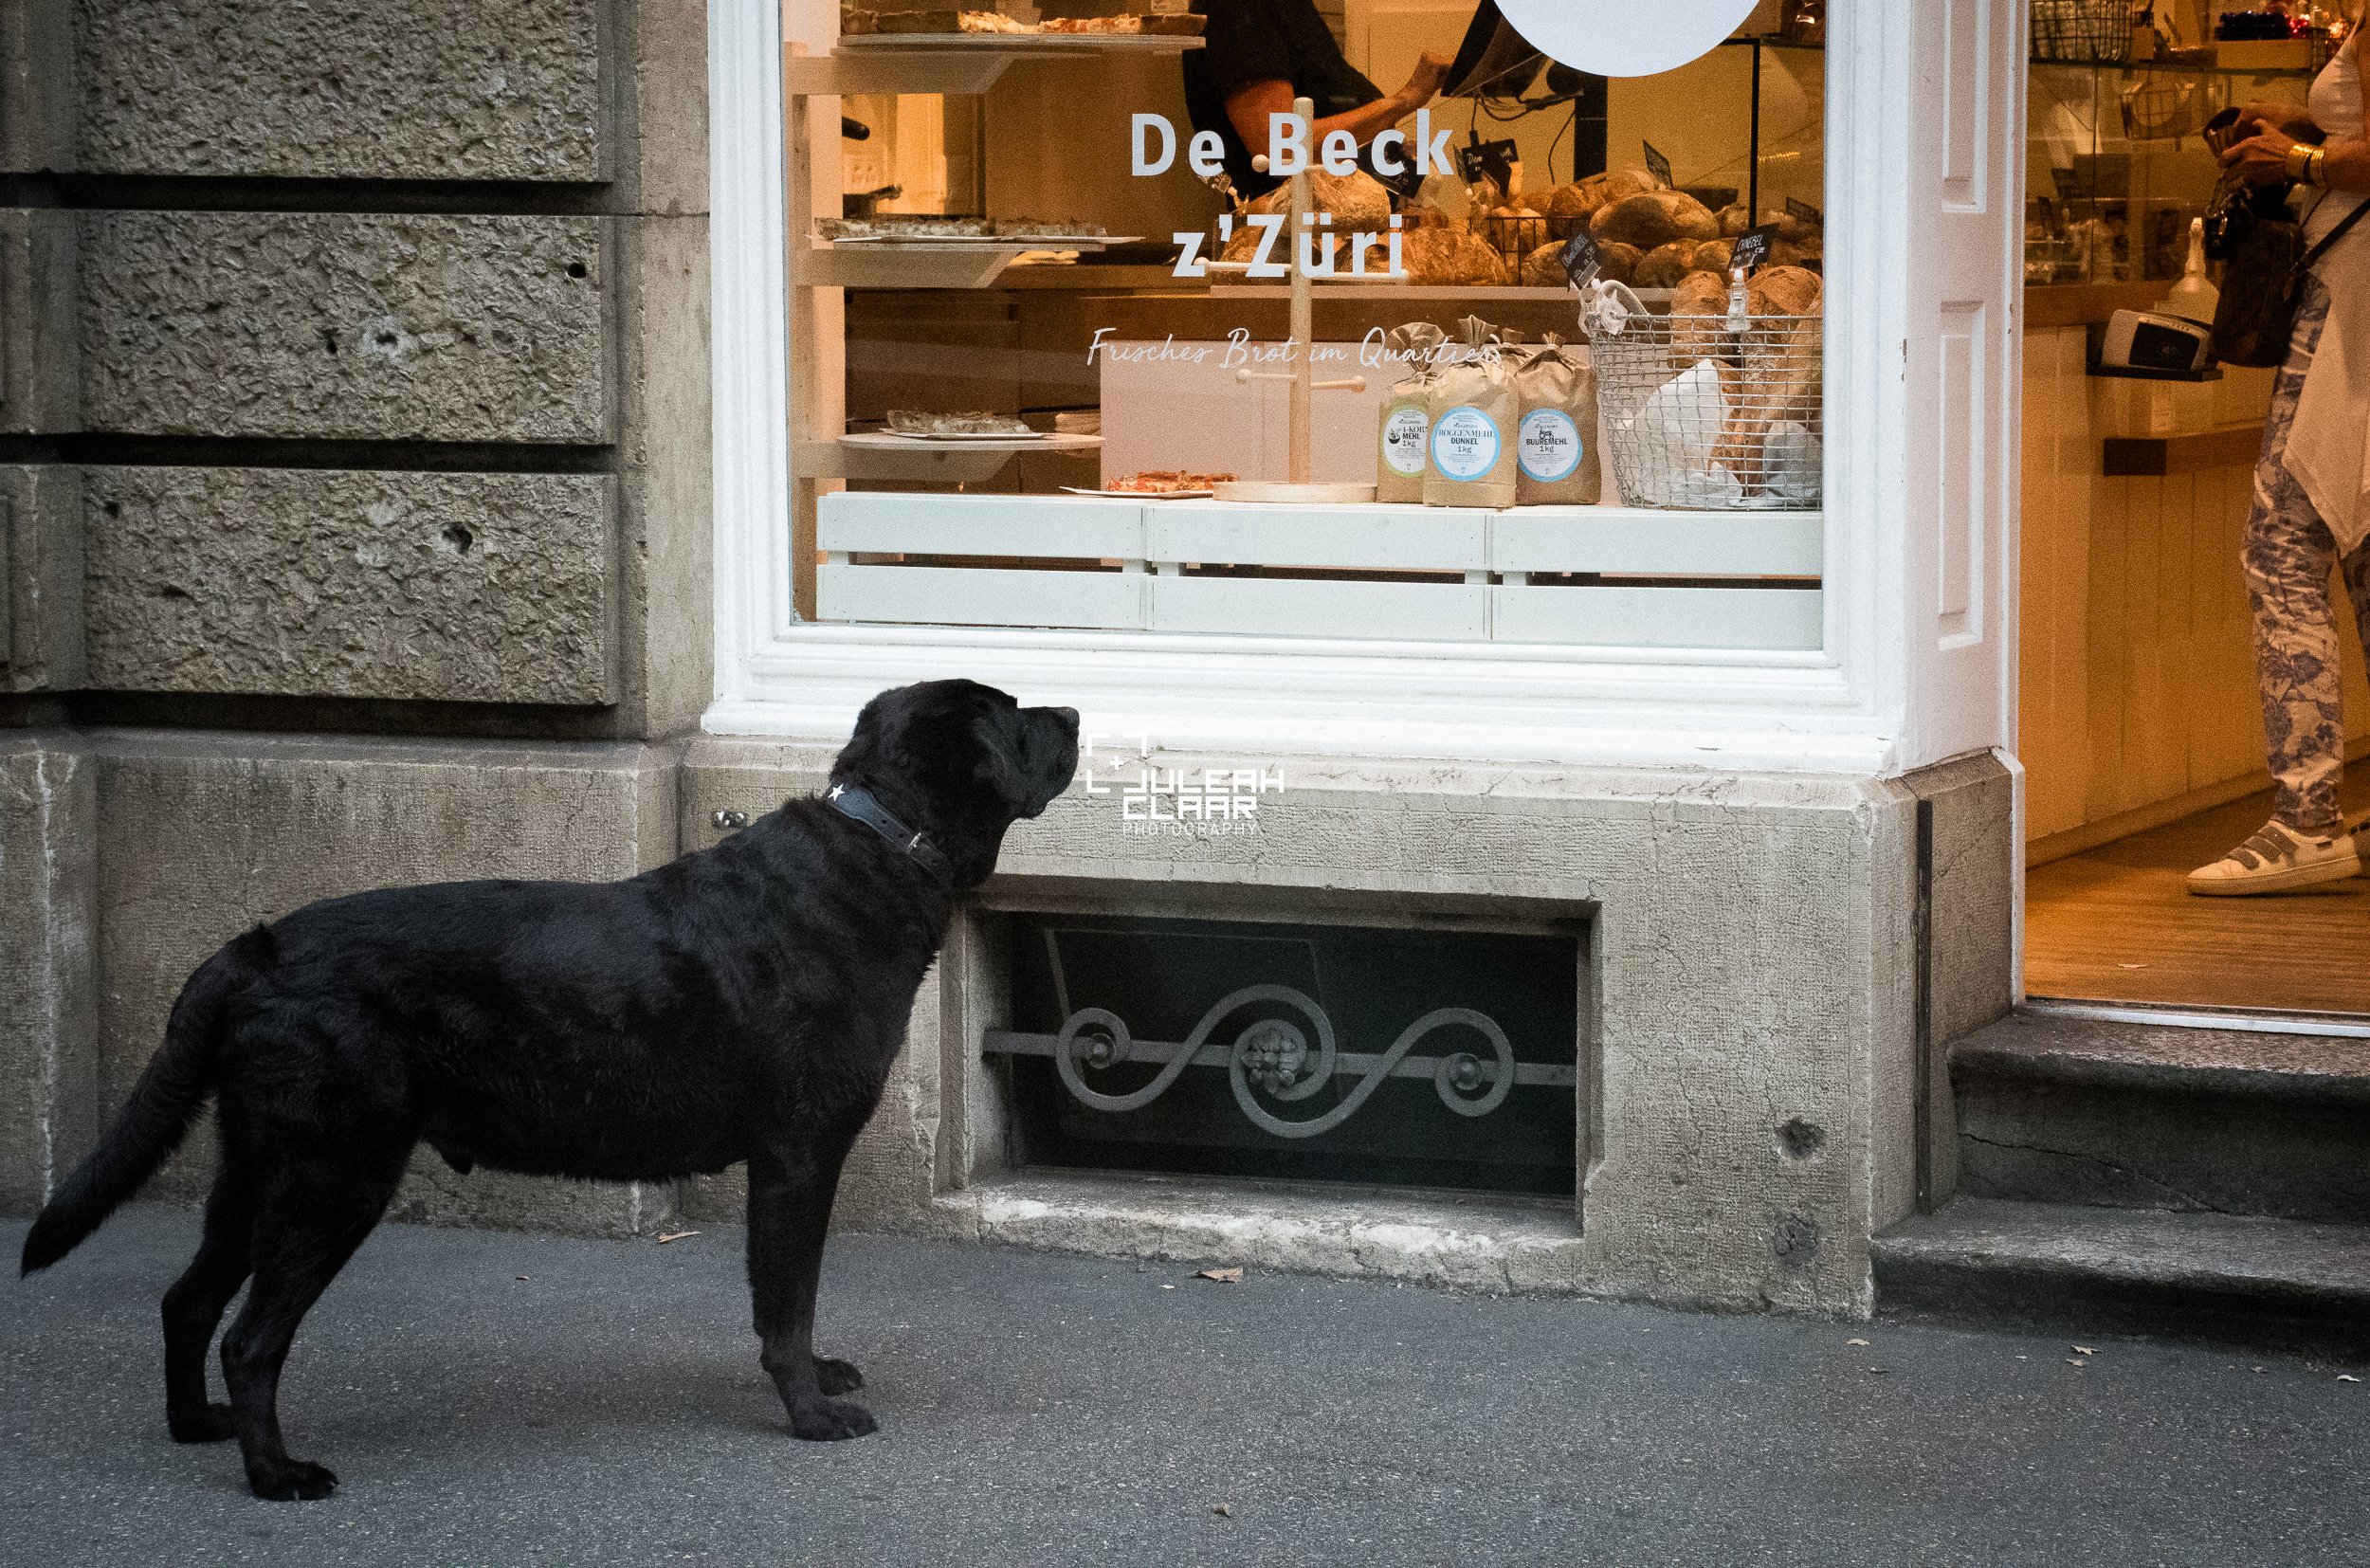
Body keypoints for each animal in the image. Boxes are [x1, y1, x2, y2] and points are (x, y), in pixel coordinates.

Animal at [19, 679, 1078, 1500]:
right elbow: (787, 1299)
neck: (884, 840)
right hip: (333, 1176)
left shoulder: (783, 1167)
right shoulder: (797, 1157)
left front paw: (815, 1380)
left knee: (186, 1299)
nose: (1072, 710)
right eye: (1015, 716)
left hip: (256, 1168)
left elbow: (784, 1298)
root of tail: (253, 948)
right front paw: (810, 1412)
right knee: (249, 1338)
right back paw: (276, 1474)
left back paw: (194, 1423)